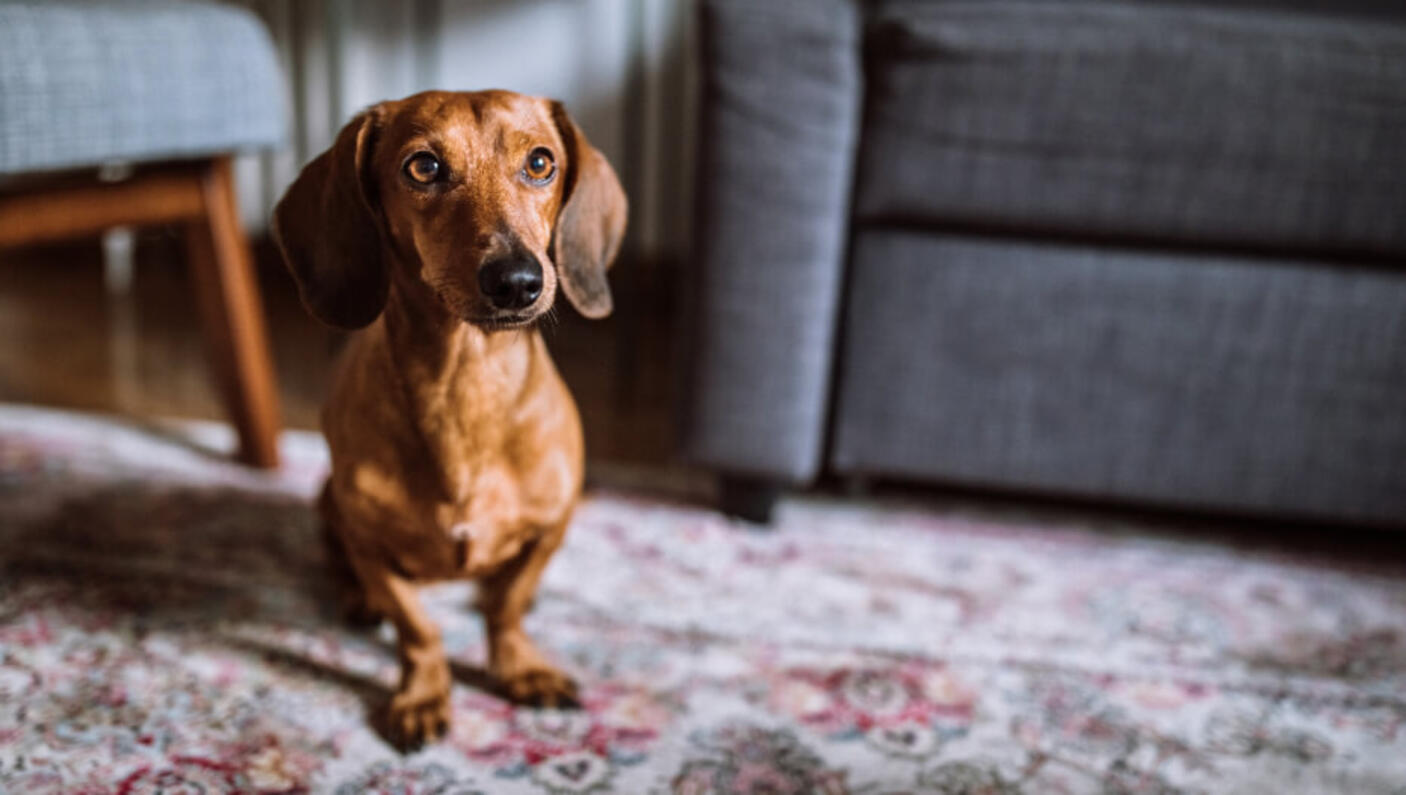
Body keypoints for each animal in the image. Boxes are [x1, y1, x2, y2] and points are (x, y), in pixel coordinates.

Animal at [271, 90, 624, 748]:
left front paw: (520, 668)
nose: (517, 281)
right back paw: (358, 601)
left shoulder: (550, 527)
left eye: (541, 162)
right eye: (423, 167)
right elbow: (417, 630)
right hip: (330, 501)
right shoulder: (371, 544)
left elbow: (506, 607)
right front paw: (423, 694)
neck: (467, 387)